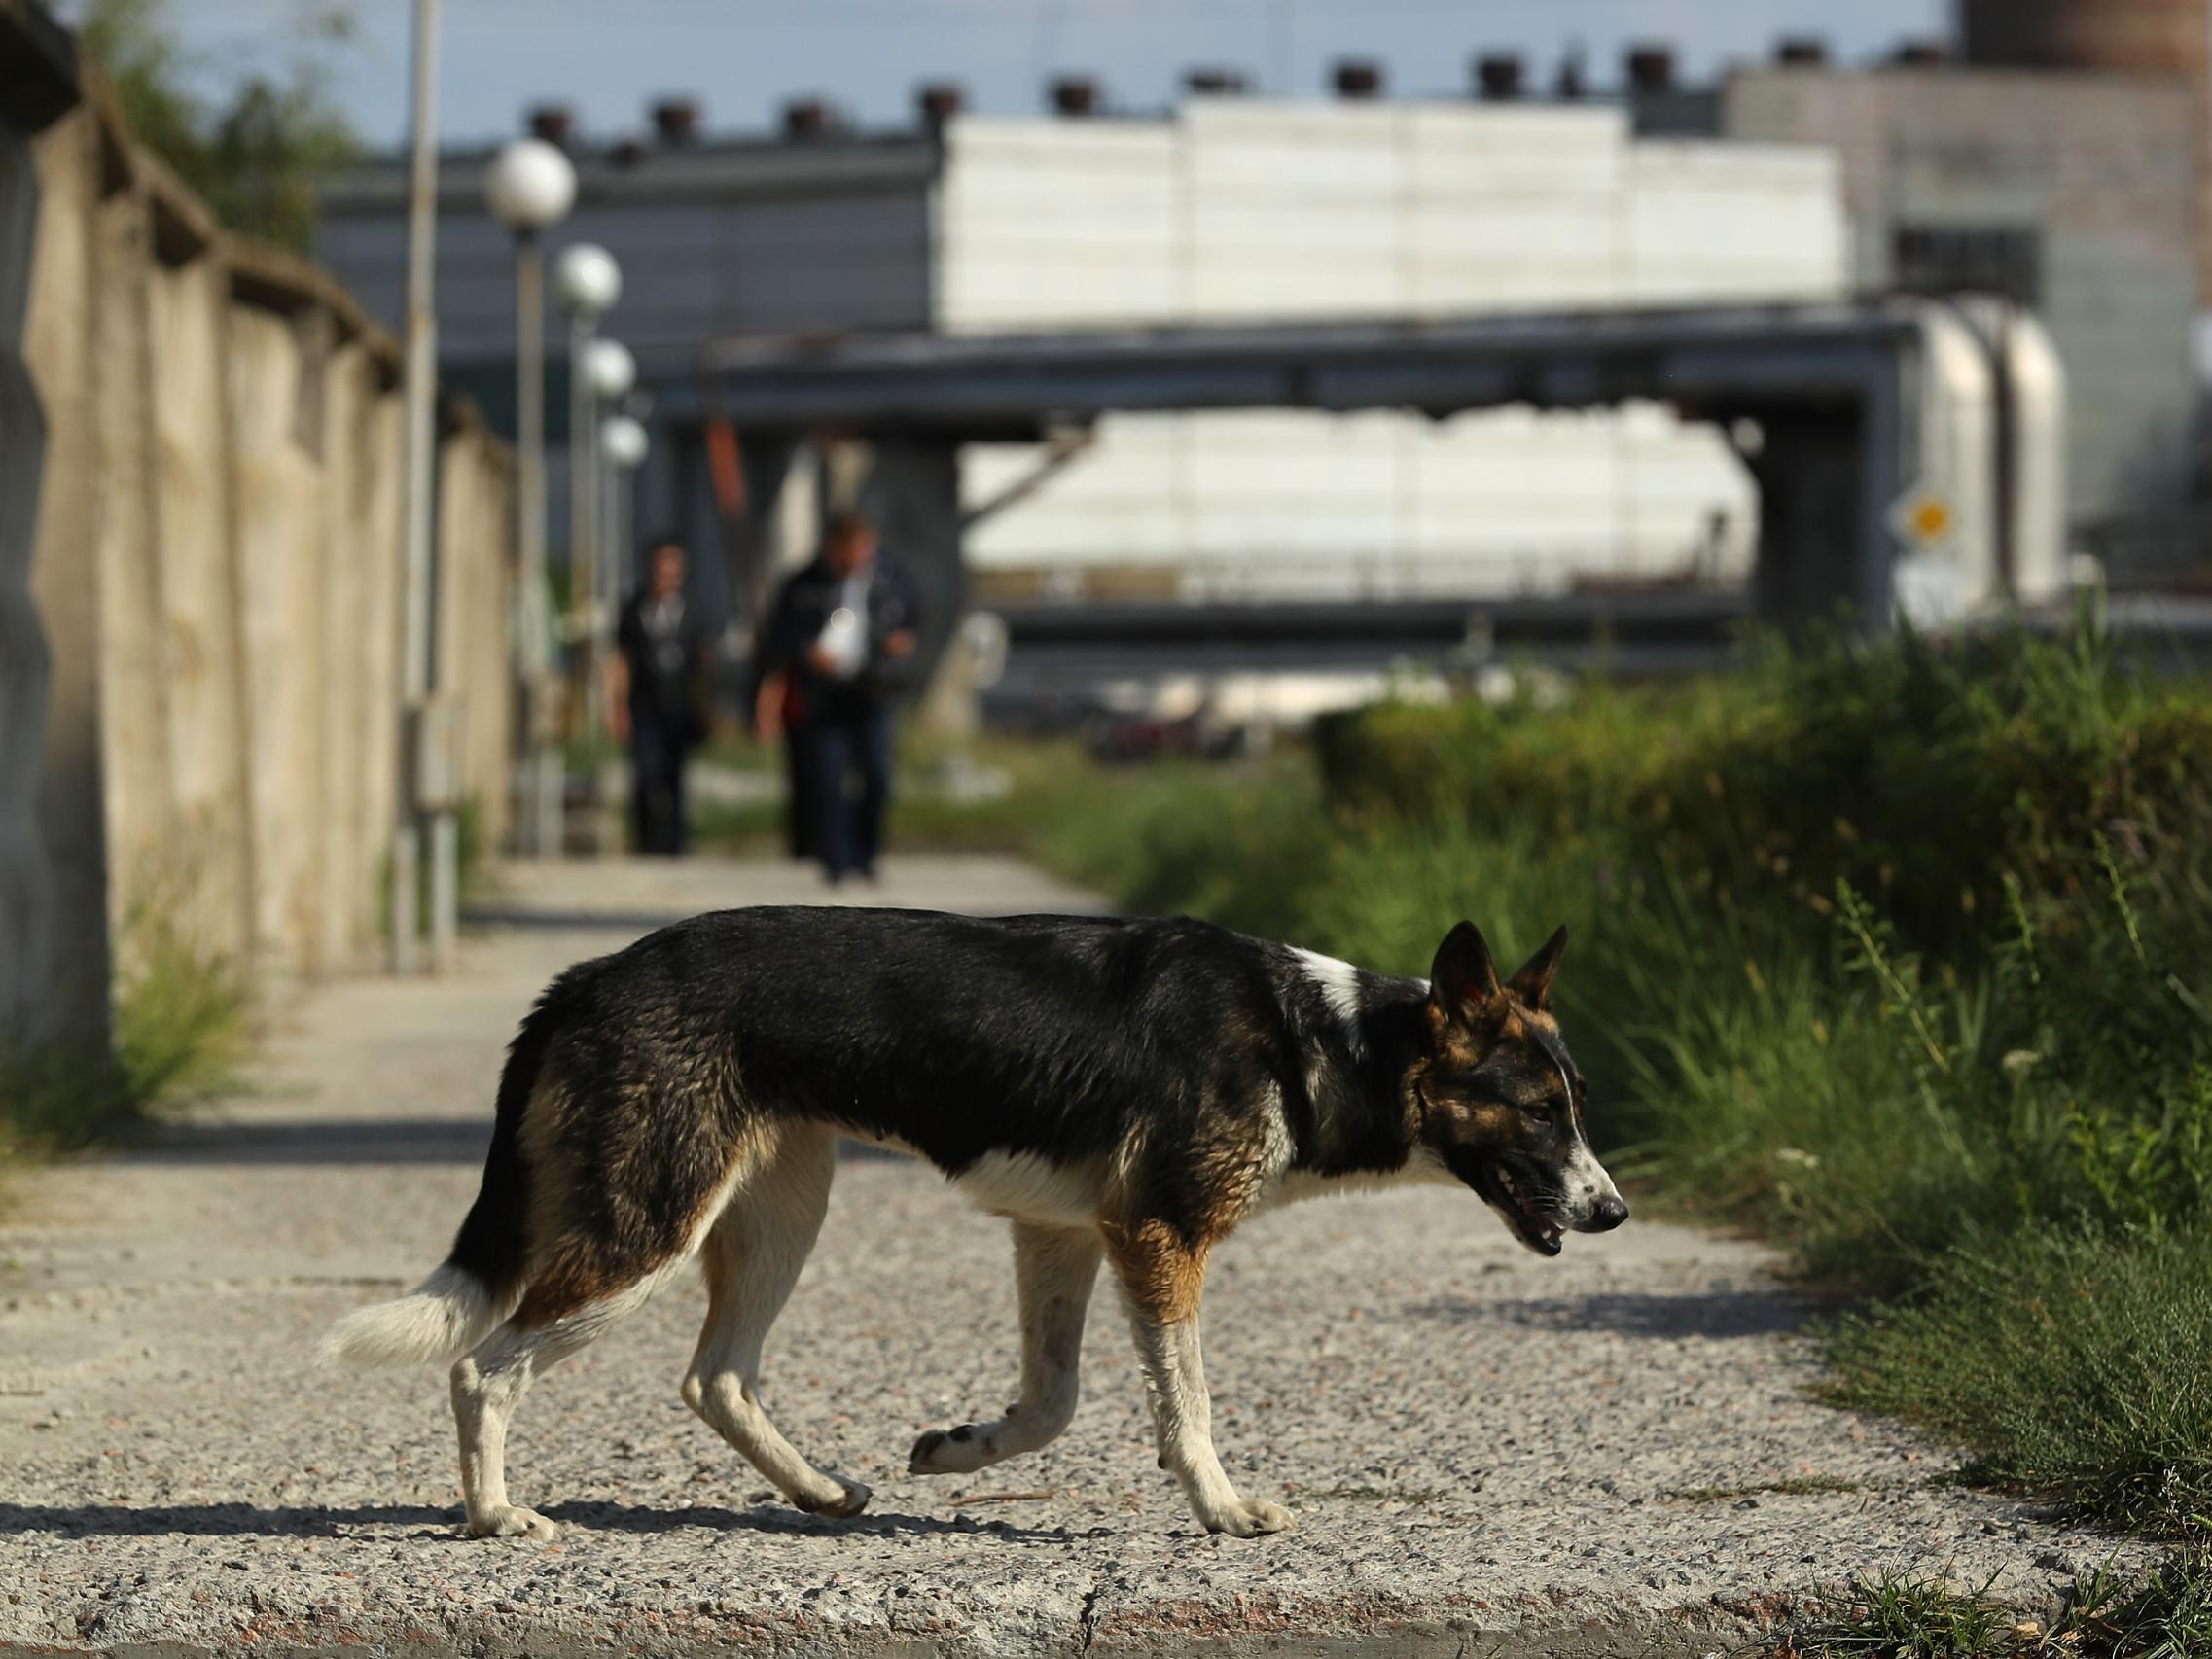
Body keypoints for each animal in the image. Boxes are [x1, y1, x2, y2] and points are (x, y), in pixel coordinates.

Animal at [323, 911, 1627, 1548]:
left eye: (1577, 1102)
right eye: (1538, 1108)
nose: (1613, 1208)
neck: (1324, 1037)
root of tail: (586, 978)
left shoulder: (1064, 1233)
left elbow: (1052, 1403)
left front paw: (955, 1449)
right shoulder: (1158, 1233)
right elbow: (1189, 1407)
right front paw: (1220, 1508)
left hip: (784, 1204)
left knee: (717, 1375)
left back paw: (821, 1490)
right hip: (648, 1227)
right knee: (486, 1365)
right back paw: (495, 1515)